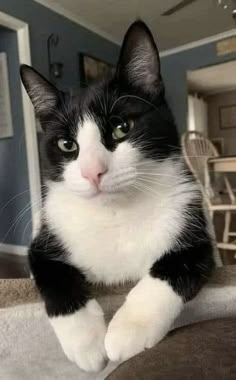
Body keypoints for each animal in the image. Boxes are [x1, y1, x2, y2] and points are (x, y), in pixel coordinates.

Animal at [21, 21, 215, 374]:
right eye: (67, 144)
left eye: (122, 127)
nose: (92, 172)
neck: (115, 214)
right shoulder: (45, 240)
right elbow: (53, 275)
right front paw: (87, 344)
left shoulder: (194, 230)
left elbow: (172, 268)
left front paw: (127, 331)